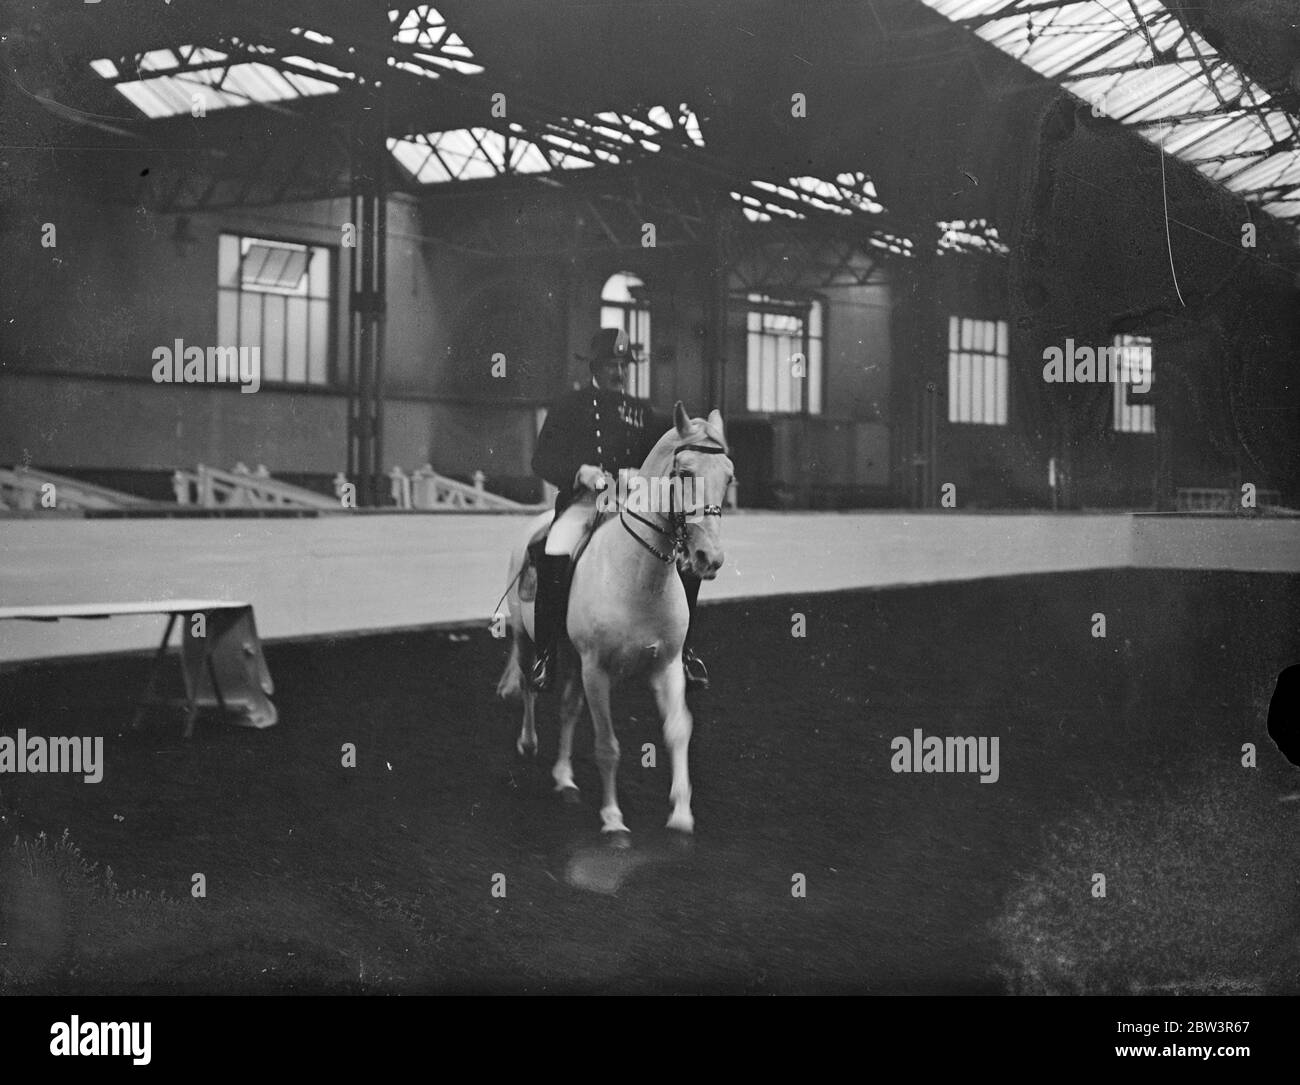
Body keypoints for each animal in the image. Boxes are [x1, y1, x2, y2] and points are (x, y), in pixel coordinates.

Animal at [493, 402, 733, 836]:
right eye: (684, 473)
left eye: (729, 475)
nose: (709, 558)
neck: (638, 577)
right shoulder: (596, 670)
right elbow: (607, 745)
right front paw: (613, 818)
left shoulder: (666, 666)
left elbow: (678, 730)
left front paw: (681, 812)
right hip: (526, 639)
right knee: (529, 686)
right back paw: (528, 742)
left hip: (571, 656)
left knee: (568, 708)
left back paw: (564, 778)